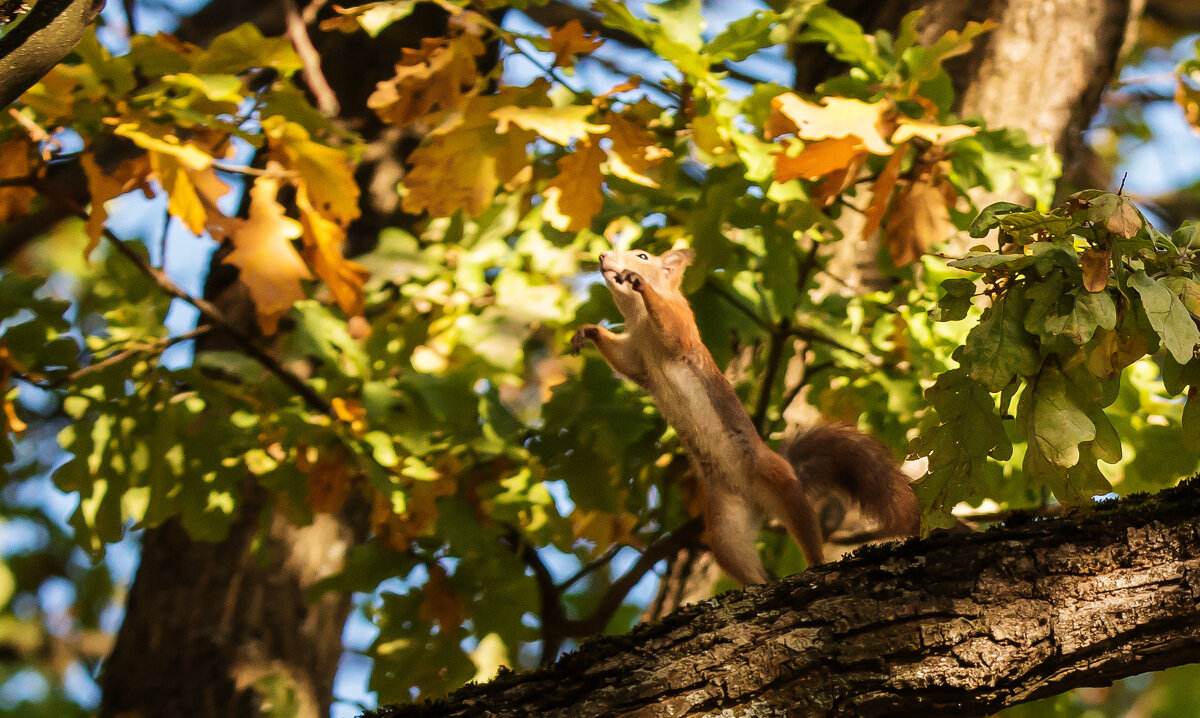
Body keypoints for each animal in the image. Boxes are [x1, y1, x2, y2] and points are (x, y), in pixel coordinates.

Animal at [571, 247, 916, 585]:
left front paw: (639, 284)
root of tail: (758, 504)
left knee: (805, 527)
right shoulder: (636, 358)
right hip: (726, 527)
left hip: (780, 483)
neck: (638, 319)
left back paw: (815, 564)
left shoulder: (681, 326)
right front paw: (588, 331)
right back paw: (757, 584)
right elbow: (624, 361)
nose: (603, 256)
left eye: (642, 256)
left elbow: (670, 328)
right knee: (742, 561)